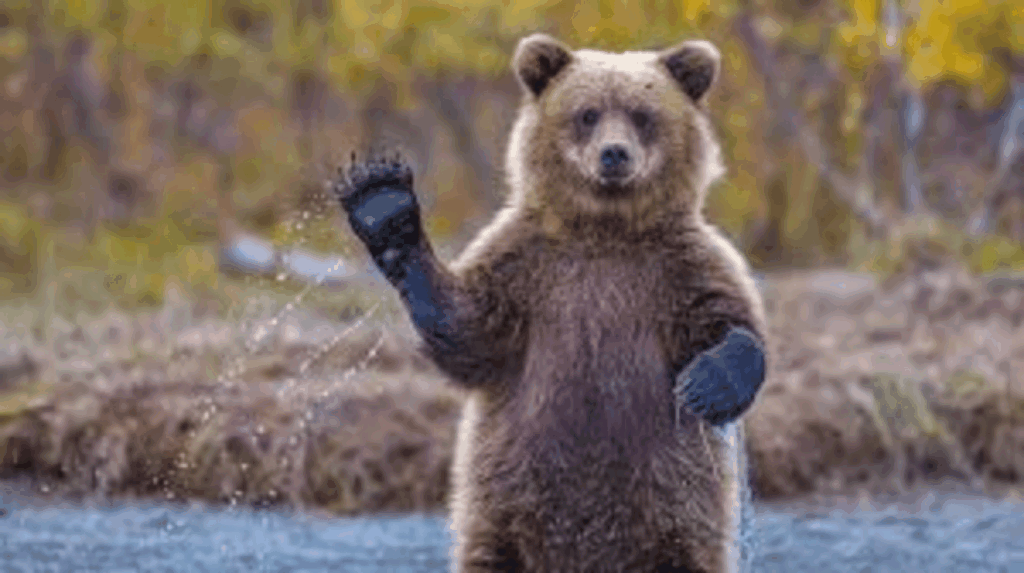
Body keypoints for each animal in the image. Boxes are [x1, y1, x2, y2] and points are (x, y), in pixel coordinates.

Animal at [334, 33, 768, 573]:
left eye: (642, 114)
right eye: (587, 113)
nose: (614, 154)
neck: (604, 229)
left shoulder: (678, 267)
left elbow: (729, 320)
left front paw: (707, 385)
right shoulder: (527, 266)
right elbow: (470, 330)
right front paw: (383, 204)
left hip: (674, 525)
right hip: (501, 518)